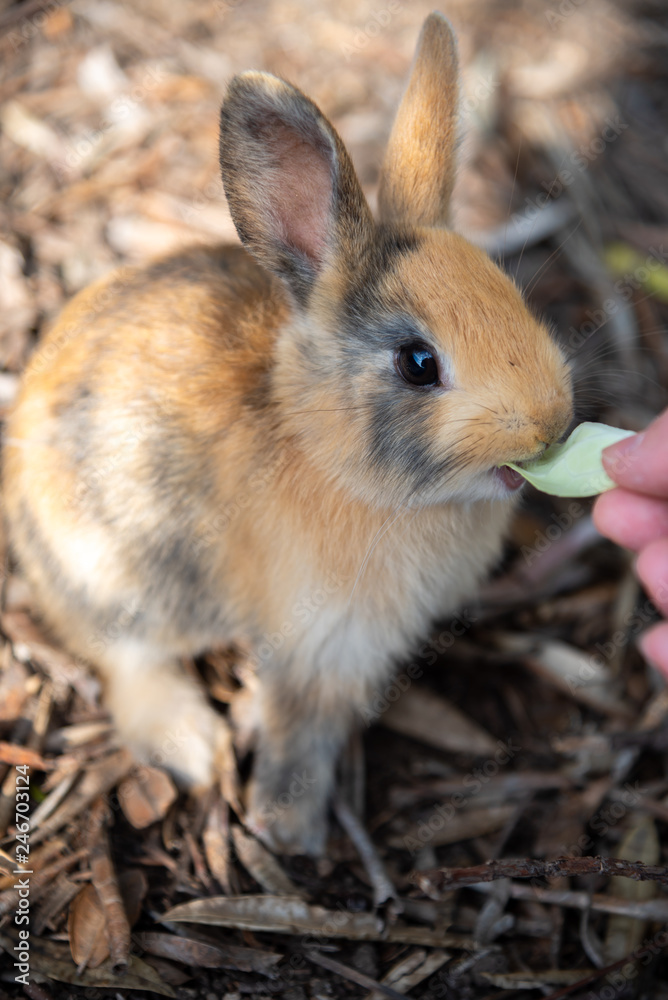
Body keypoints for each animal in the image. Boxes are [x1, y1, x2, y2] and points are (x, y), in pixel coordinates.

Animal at [3, 11, 573, 855]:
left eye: (512, 297)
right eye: (418, 363)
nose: (548, 425)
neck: (329, 456)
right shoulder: (312, 642)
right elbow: (295, 727)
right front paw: (286, 828)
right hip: (119, 574)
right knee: (123, 658)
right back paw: (190, 745)